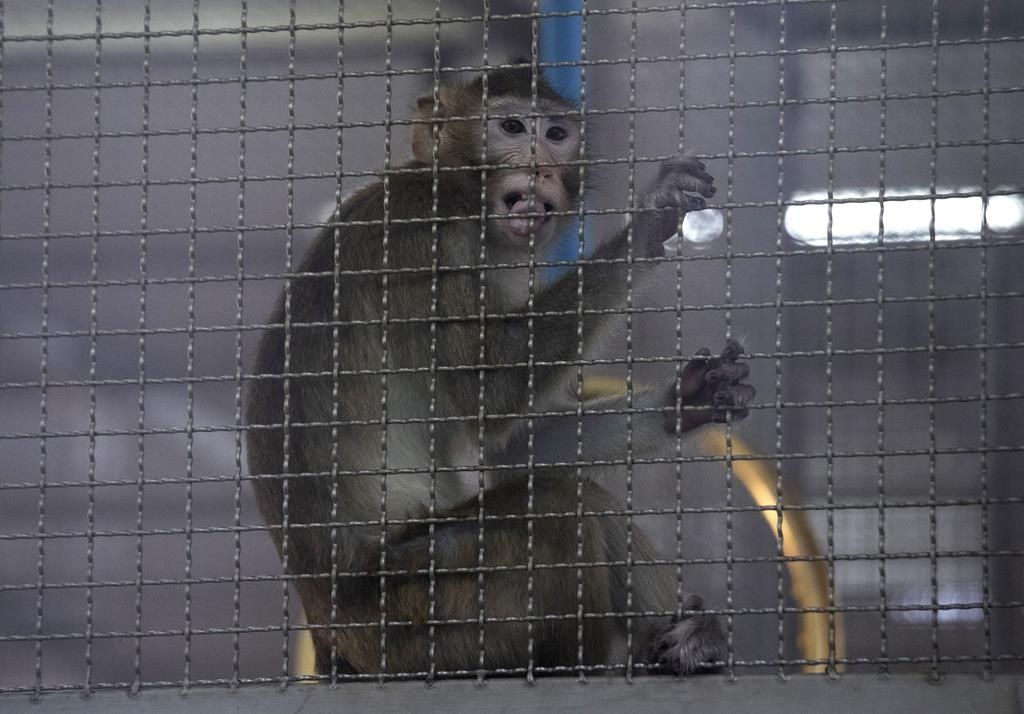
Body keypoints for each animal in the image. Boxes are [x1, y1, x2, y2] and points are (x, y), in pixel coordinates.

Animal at [244, 62, 757, 680]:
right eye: (512, 128)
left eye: (557, 134)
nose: (541, 166)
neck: (458, 193)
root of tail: (330, 634)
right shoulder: (426, 240)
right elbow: (491, 392)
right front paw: (648, 221)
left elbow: (508, 453)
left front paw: (687, 398)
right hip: (415, 617)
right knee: (556, 508)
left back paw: (685, 643)